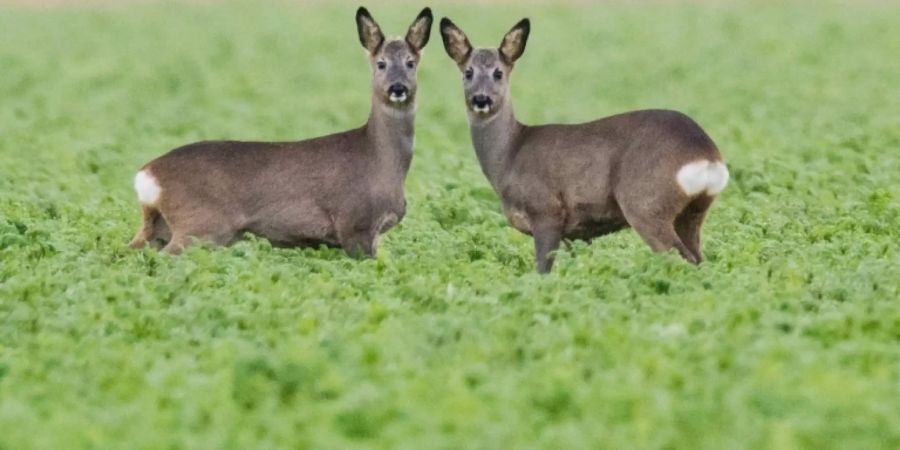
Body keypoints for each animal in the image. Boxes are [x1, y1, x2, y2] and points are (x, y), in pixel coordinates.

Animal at [128, 7, 434, 258]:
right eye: (381, 63)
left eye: (410, 62)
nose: (398, 88)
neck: (381, 161)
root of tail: (146, 174)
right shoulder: (354, 224)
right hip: (200, 226)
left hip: (158, 224)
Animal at [440, 17, 728, 272]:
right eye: (468, 72)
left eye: (498, 73)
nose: (481, 99)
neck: (510, 155)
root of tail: (708, 154)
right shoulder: (575, 232)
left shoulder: (546, 210)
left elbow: (542, 270)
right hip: (693, 211)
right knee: (698, 258)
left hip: (646, 203)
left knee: (681, 258)